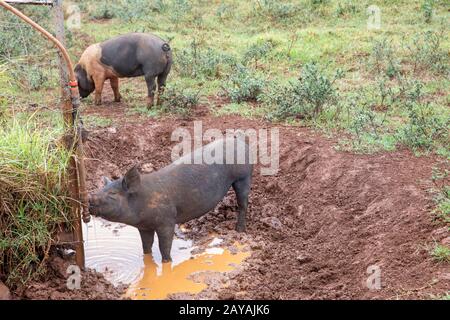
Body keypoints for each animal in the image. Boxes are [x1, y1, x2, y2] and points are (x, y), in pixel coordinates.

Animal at [89, 138, 253, 262]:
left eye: (113, 193)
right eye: (102, 189)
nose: (90, 198)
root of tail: (240, 141)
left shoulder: (167, 220)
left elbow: (165, 246)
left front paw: (167, 262)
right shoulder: (144, 227)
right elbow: (146, 246)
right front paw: (147, 259)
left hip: (243, 177)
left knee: (243, 204)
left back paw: (239, 230)